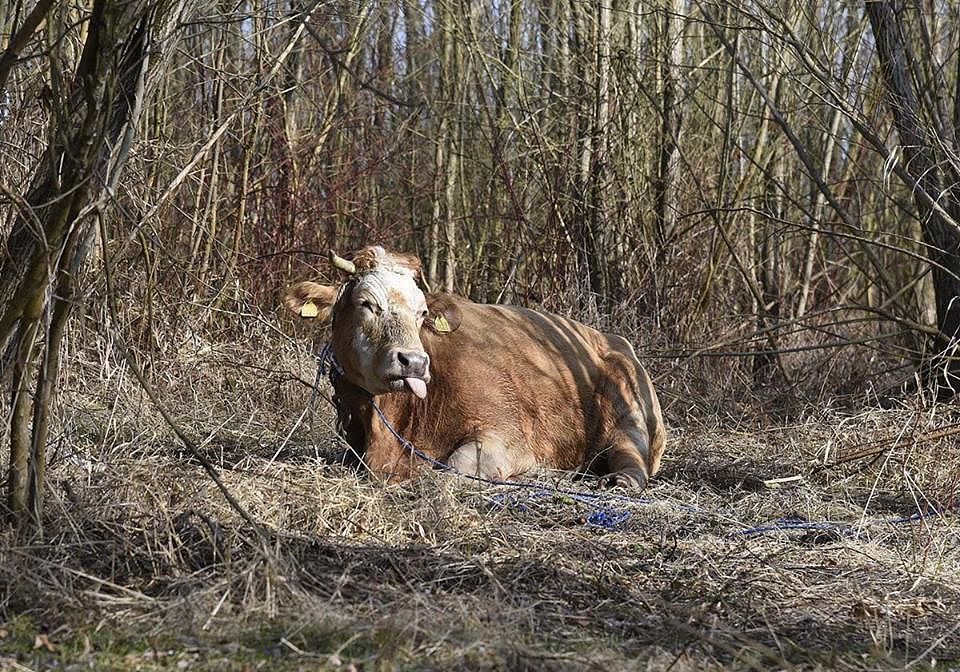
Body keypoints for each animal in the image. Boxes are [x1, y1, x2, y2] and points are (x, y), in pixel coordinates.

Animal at [284, 246, 666, 488]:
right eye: (366, 304)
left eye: (422, 313)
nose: (414, 361)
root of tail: (613, 339)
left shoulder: (507, 437)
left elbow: (452, 469)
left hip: (629, 415)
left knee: (631, 461)